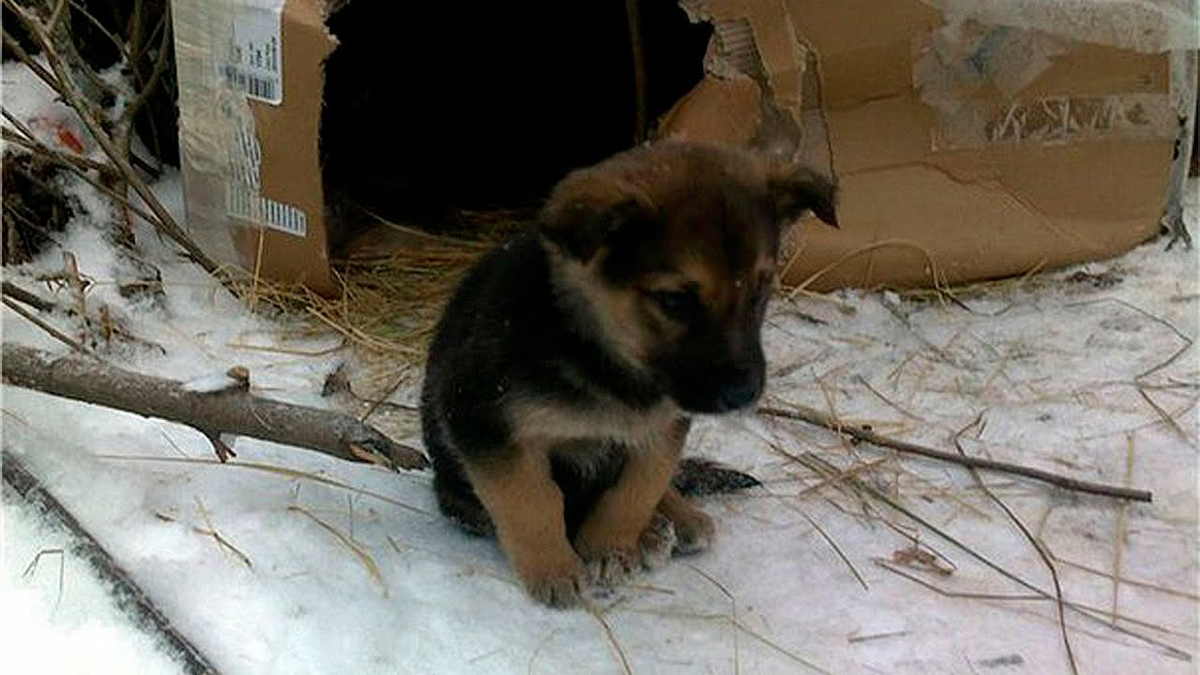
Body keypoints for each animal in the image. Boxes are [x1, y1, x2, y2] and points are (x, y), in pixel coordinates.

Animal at [420, 140, 835, 605]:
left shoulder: (664, 426)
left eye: (761, 289)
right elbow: (532, 500)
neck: (605, 357)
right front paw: (552, 570)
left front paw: (608, 548)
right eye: (675, 301)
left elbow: (638, 489)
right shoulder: (486, 423)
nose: (745, 393)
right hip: (456, 491)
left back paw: (676, 519)